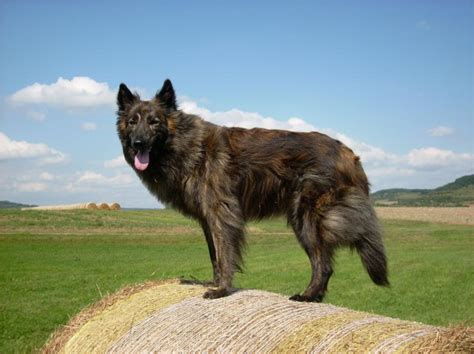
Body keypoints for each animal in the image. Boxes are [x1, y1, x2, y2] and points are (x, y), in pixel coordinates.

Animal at [115, 80, 388, 302]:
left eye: (154, 122)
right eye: (132, 122)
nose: (138, 143)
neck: (186, 146)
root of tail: (349, 153)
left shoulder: (222, 214)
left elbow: (224, 253)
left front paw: (222, 290)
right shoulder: (207, 219)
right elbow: (214, 255)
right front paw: (215, 282)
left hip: (306, 219)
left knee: (324, 263)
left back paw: (308, 295)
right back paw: (315, 296)